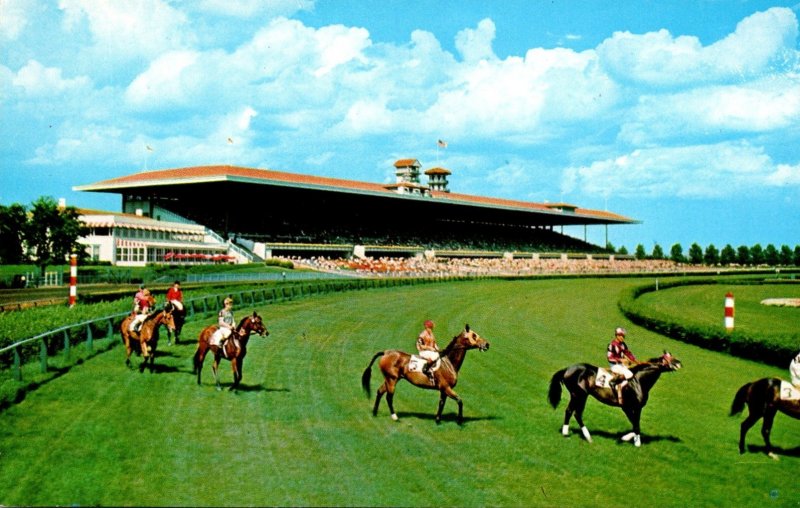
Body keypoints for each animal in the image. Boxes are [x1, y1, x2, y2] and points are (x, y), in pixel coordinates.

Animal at [360, 326, 488, 424]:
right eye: (474, 335)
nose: (487, 344)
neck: (449, 362)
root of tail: (386, 352)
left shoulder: (443, 390)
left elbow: (441, 403)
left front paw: (437, 420)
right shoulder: (446, 387)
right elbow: (459, 401)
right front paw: (460, 420)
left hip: (389, 379)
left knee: (379, 392)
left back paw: (375, 412)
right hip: (392, 380)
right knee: (389, 397)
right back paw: (395, 416)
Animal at [552, 352, 680, 446]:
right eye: (669, 358)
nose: (679, 363)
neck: (638, 380)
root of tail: (568, 369)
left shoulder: (630, 407)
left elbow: (635, 424)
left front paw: (628, 437)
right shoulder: (632, 407)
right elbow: (636, 425)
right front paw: (635, 442)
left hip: (580, 396)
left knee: (574, 413)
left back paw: (583, 436)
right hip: (579, 395)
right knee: (573, 412)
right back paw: (571, 434)